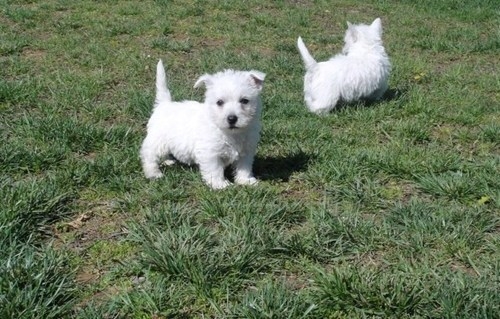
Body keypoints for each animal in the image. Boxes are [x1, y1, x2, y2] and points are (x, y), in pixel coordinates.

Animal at [140, 60, 266, 190]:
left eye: (244, 101)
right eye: (219, 102)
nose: (232, 118)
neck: (230, 133)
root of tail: (164, 104)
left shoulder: (246, 151)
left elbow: (244, 167)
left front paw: (246, 181)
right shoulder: (210, 153)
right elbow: (215, 169)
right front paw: (220, 184)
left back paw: (168, 161)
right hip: (157, 140)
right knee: (149, 155)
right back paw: (153, 173)